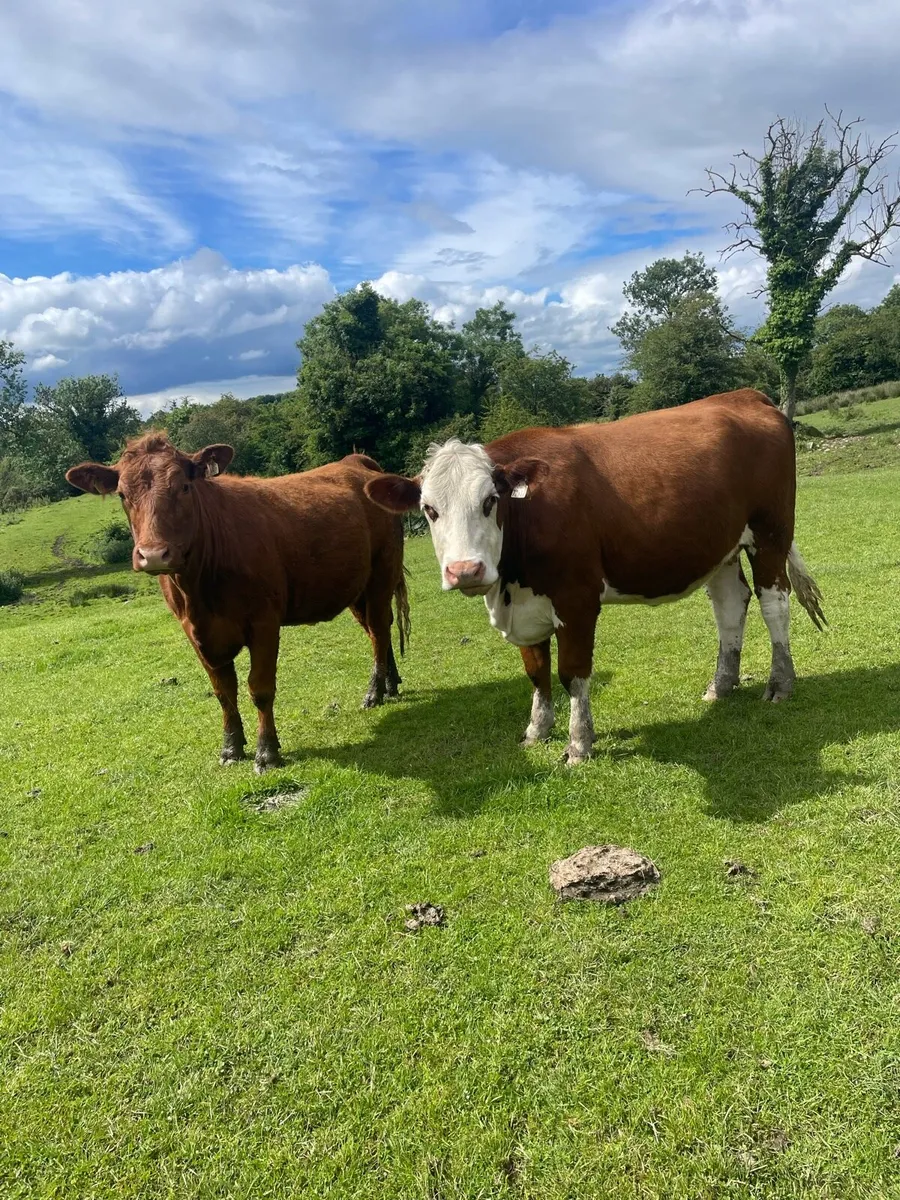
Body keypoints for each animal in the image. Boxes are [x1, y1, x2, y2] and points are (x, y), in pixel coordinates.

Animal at [66, 434, 410, 772]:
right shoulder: (195, 633)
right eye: (122, 495)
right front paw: (231, 748)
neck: (199, 591)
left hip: (382, 574)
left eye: (185, 487)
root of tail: (356, 462)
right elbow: (223, 692)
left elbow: (260, 688)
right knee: (378, 630)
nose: (153, 554)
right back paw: (390, 684)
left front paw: (266, 752)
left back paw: (374, 692)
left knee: (379, 630)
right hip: (356, 588)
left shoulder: (264, 622)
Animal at [365, 389, 825, 766]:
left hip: (770, 533)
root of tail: (745, 396)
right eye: (429, 510)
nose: (465, 571)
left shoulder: (577, 600)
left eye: (490, 501)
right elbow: (536, 672)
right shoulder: (526, 605)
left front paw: (579, 743)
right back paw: (721, 685)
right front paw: (537, 730)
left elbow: (571, 673)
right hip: (720, 546)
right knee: (730, 606)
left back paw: (780, 683)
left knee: (774, 602)